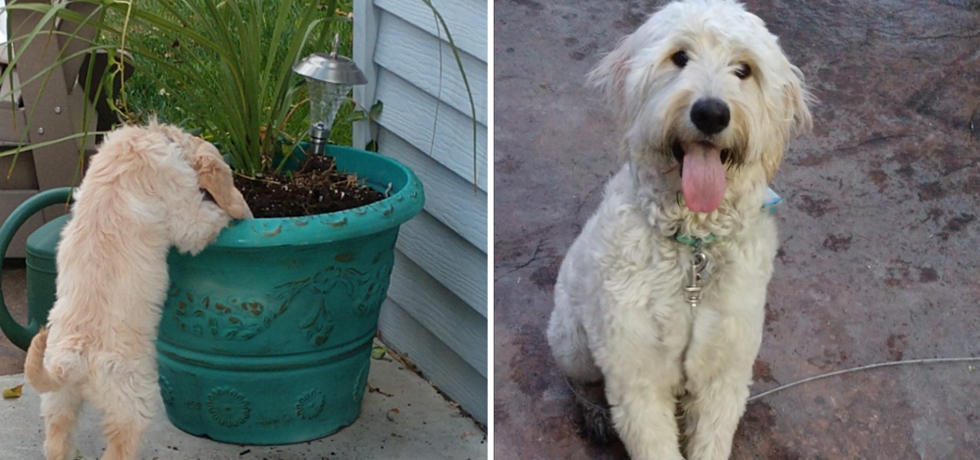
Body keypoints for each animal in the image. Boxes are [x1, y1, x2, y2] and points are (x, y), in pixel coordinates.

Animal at [24, 120, 253, 458]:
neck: (148, 138)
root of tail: (73, 363)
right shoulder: (185, 212)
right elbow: (206, 220)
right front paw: (231, 214)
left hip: (57, 400)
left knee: (57, 441)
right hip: (132, 400)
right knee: (119, 447)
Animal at [552, 1, 812, 458]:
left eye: (744, 69)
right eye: (679, 57)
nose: (710, 113)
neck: (693, 247)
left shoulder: (724, 372)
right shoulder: (637, 377)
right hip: (571, 338)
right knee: (579, 380)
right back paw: (593, 413)